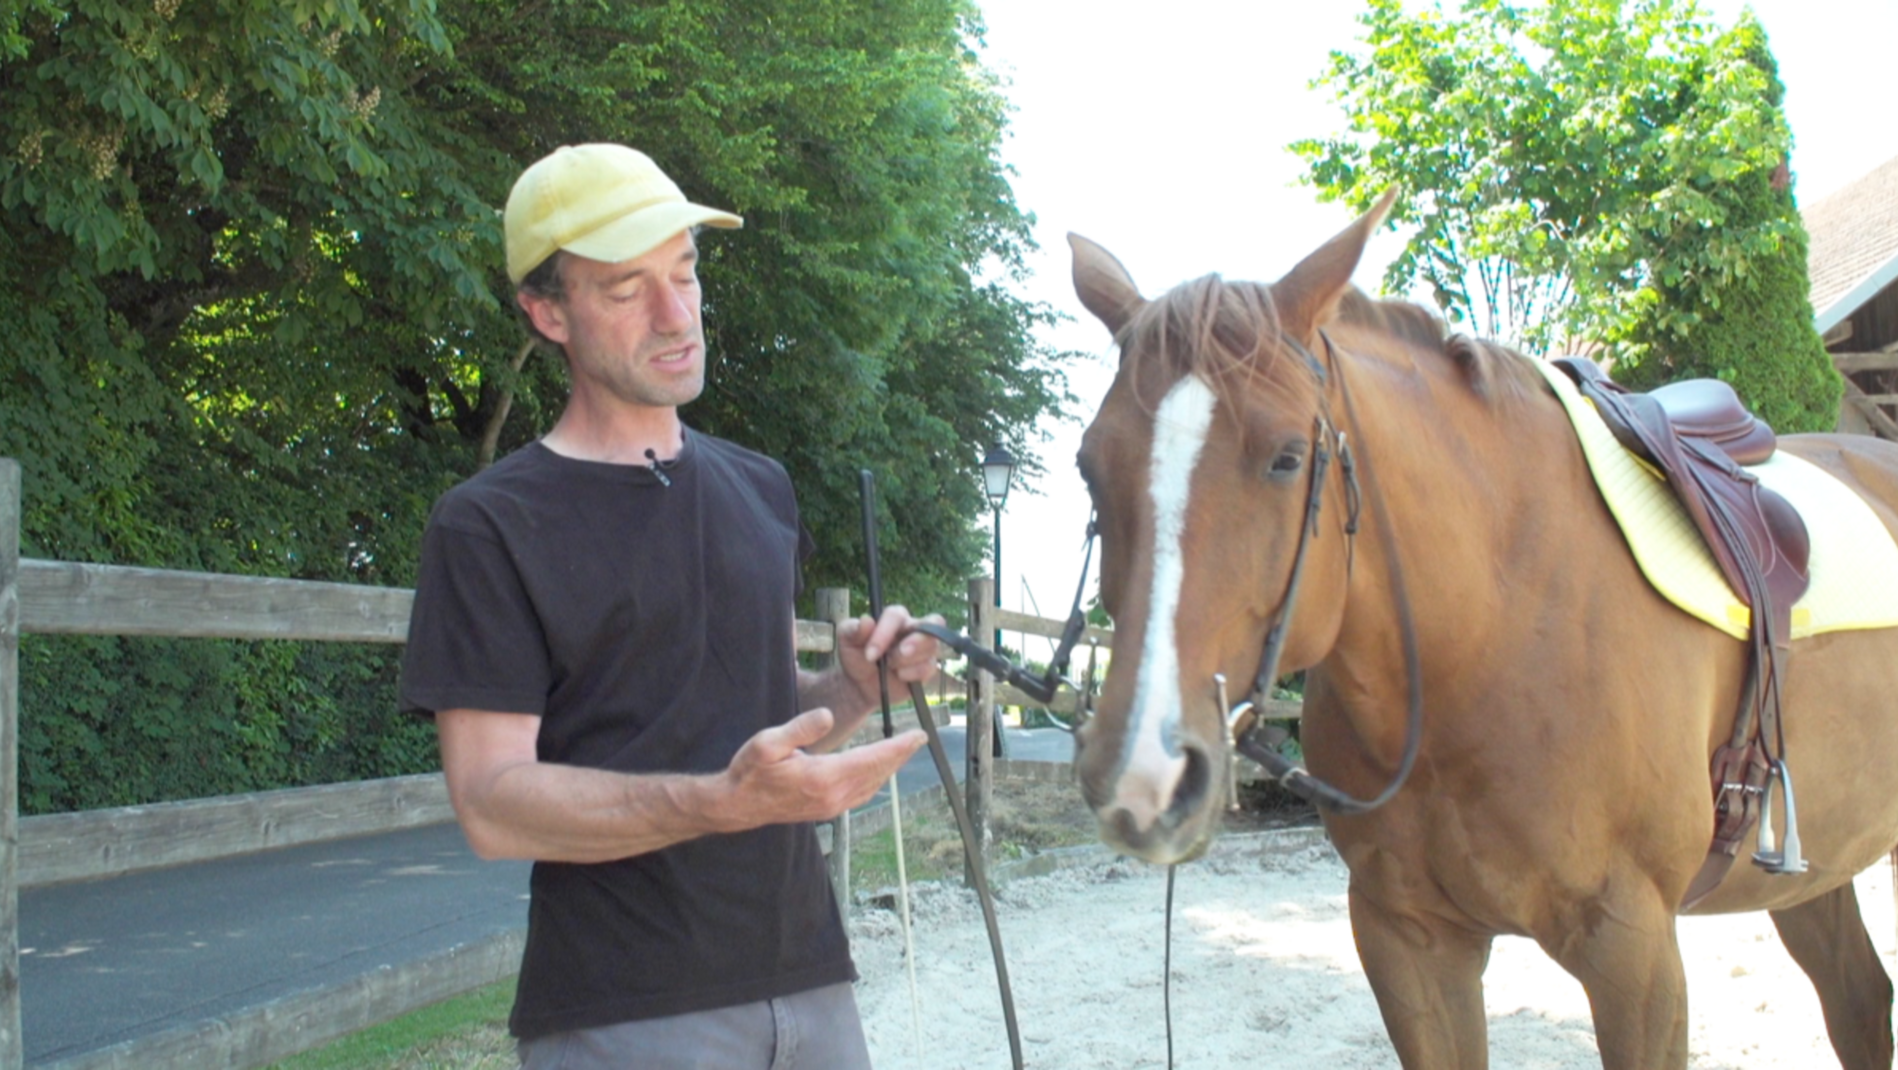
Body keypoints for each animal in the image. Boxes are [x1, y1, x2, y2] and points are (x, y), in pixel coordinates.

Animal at [1064, 192, 1898, 1068]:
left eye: (1288, 457)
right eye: (1090, 464)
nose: (1143, 775)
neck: (1489, 636)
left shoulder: (1634, 953)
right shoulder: (1408, 942)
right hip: (1810, 872)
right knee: (1859, 1002)